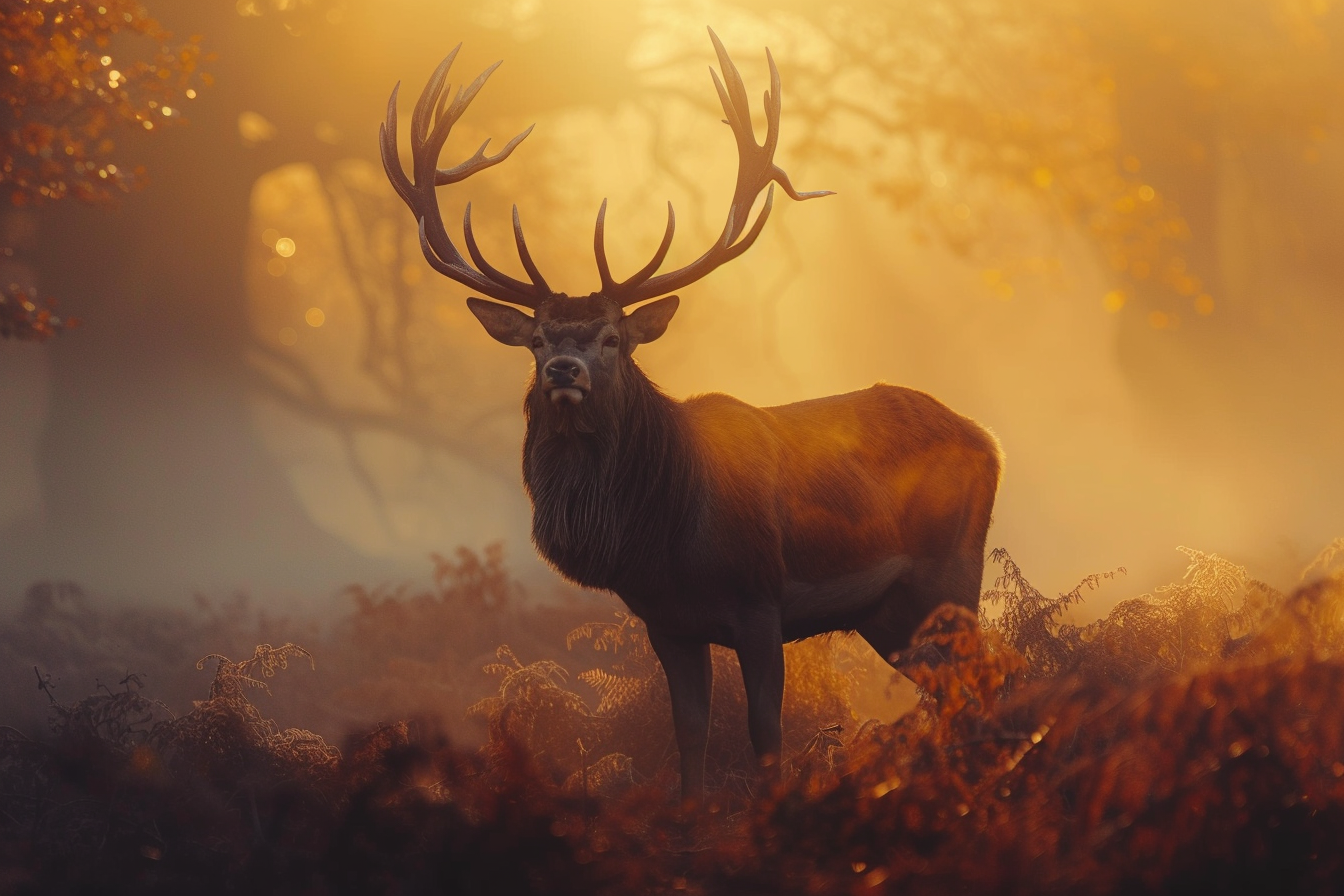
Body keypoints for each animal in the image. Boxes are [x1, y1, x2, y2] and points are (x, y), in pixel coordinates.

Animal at [380, 29, 1003, 799]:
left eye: (611, 337)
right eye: (538, 339)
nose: (564, 370)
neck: (669, 533)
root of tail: (989, 440)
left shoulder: (763, 599)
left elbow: (765, 736)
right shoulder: (667, 621)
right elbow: (690, 734)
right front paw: (692, 809)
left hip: (951, 571)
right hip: (890, 613)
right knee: (955, 692)